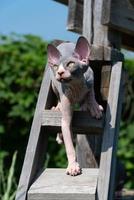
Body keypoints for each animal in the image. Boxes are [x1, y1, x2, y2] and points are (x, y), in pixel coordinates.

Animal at [47, 36, 103, 176]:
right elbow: (67, 136)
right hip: (53, 84)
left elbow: (91, 93)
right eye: (56, 66)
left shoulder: (90, 77)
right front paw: (72, 166)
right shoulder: (65, 100)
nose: (59, 72)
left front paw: (94, 107)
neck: (77, 86)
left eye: (70, 64)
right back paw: (58, 108)